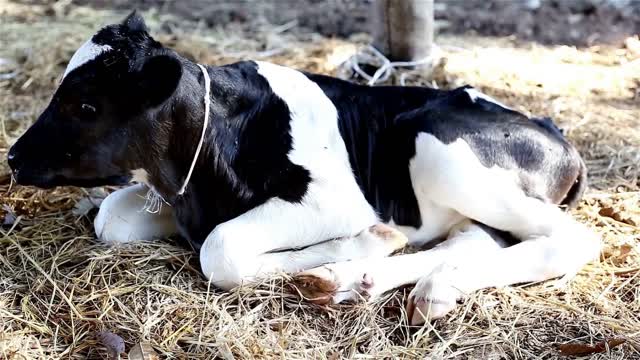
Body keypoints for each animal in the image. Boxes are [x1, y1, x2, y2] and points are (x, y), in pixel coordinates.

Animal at [7, 12, 600, 324]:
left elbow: (221, 248)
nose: (12, 157)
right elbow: (111, 216)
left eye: (87, 106)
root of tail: (551, 127)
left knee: (564, 241)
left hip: (443, 153)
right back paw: (393, 283)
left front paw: (357, 244)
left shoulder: (335, 201)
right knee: (473, 239)